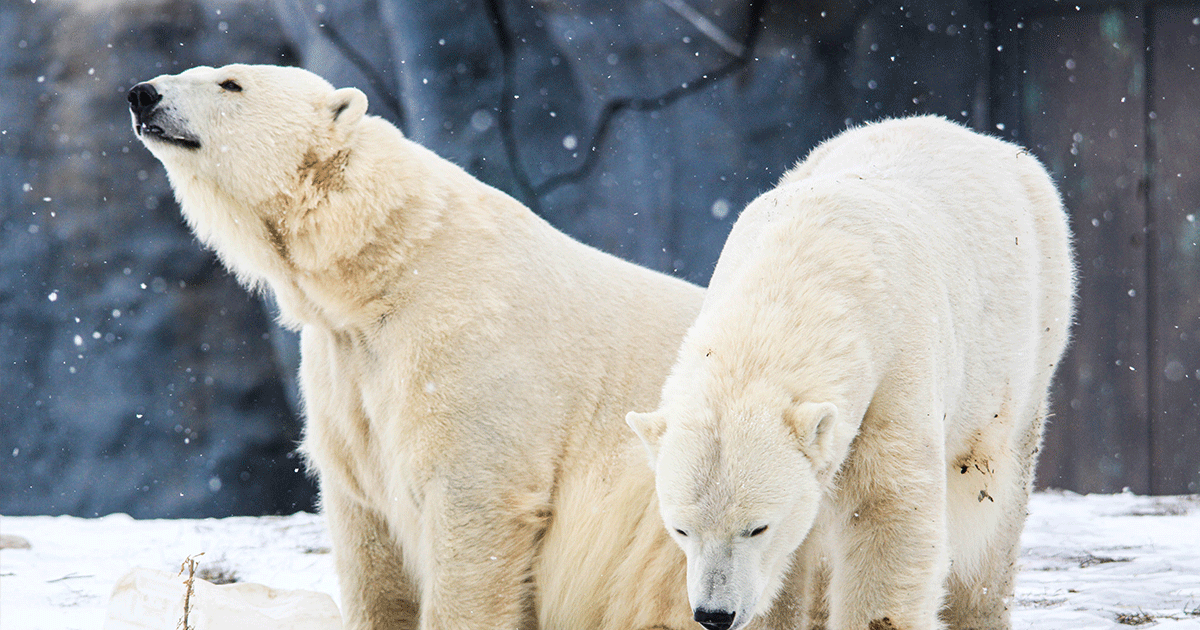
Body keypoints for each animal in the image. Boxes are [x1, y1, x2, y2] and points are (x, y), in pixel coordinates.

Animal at [128, 64, 704, 630]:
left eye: (231, 83)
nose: (142, 93)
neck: (388, 264)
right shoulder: (343, 366)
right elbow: (365, 523)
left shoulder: (468, 344)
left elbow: (474, 504)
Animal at [627, 116, 1076, 630]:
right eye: (680, 528)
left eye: (757, 526)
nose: (714, 613)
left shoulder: (897, 365)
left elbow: (888, 512)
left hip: (1031, 336)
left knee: (995, 504)